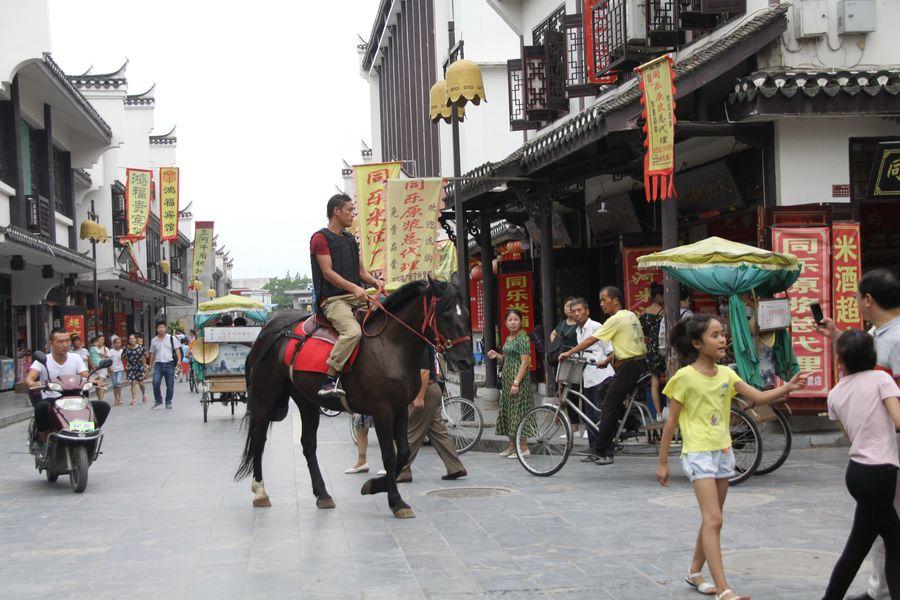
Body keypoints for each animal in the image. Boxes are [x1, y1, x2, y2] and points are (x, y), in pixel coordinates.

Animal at [234, 278, 472, 516]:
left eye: (467, 313)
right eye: (446, 315)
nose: (465, 361)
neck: (390, 345)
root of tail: (269, 331)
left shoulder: (401, 407)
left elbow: (404, 452)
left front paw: (374, 486)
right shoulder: (382, 410)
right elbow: (389, 456)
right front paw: (396, 501)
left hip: (306, 400)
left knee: (308, 444)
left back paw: (322, 494)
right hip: (265, 396)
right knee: (259, 439)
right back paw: (260, 491)